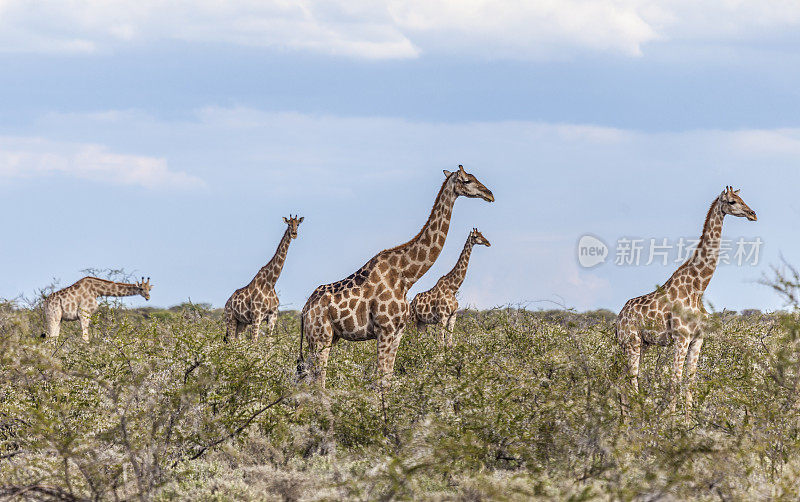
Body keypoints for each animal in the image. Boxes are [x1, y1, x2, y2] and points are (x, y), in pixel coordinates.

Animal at [223, 214, 304, 344]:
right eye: (289, 224)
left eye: (298, 224)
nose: (294, 234)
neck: (270, 283)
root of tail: (227, 303)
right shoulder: (256, 316)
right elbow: (254, 342)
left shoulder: (272, 316)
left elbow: (268, 343)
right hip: (231, 319)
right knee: (230, 341)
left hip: (242, 323)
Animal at [296, 165, 490, 388]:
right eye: (467, 180)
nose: (489, 194)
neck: (406, 276)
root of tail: (305, 310)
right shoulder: (385, 329)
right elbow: (381, 379)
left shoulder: (398, 332)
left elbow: (388, 377)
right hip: (321, 338)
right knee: (318, 382)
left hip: (326, 338)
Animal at [616, 186, 760, 418]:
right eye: (731, 201)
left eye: (742, 198)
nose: (752, 214)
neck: (698, 288)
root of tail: (618, 319)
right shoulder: (681, 337)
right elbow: (675, 381)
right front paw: (671, 421)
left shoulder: (698, 339)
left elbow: (690, 382)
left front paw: (688, 422)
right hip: (632, 342)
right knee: (631, 381)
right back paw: (634, 418)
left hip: (641, 344)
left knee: (621, 380)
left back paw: (625, 420)